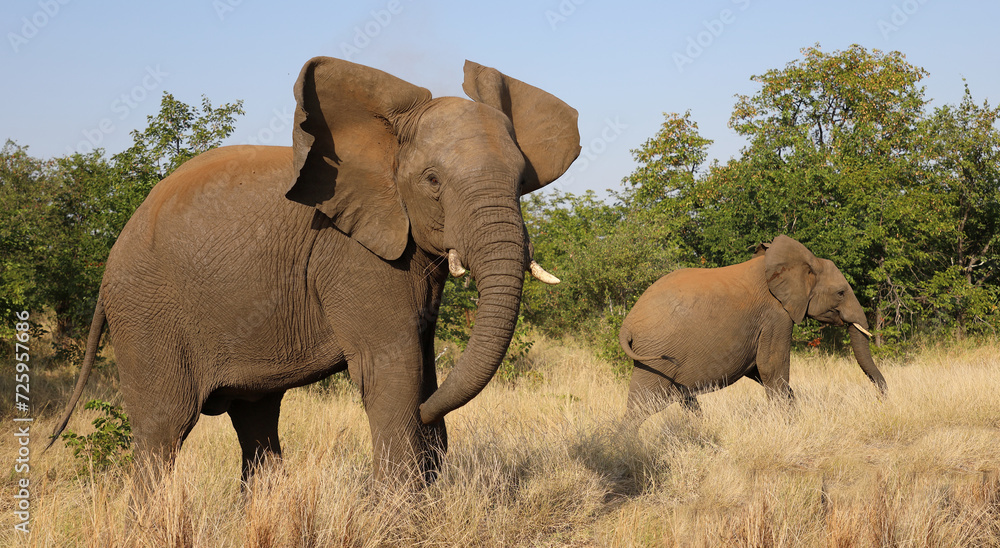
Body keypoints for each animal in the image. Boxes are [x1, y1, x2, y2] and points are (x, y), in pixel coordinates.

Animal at [48, 57, 581, 488]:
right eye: (432, 180)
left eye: (521, 178)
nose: (430, 419)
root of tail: (114, 252)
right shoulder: (353, 257)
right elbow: (394, 371)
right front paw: (401, 510)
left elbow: (422, 365)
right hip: (146, 311)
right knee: (164, 430)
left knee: (256, 420)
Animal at [619, 235, 887, 421]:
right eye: (841, 293)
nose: (880, 400)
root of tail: (626, 326)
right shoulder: (775, 314)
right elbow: (771, 367)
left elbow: (760, 369)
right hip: (656, 355)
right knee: (641, 407)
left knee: (682, 400)